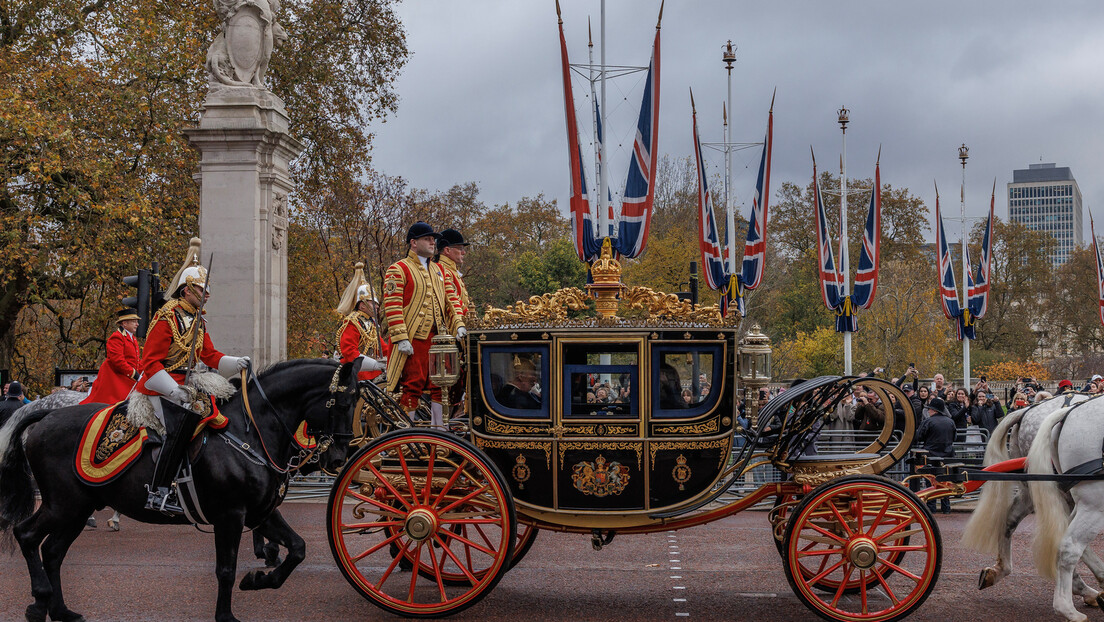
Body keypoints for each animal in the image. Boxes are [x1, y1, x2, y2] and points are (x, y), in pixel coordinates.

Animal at [0, 360, 355, 622]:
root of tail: (47, 413)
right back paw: (40, 601)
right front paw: (226, 616)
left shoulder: (260, 512)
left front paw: (259, 580)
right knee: (27, 535)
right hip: (63, 504)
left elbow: (298, 548)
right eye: (343, 401)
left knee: (53, 551)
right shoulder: (230, 515)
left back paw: (60, 610)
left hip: (78, 507)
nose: (339, 458)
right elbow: (225, 569)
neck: (251, 433)